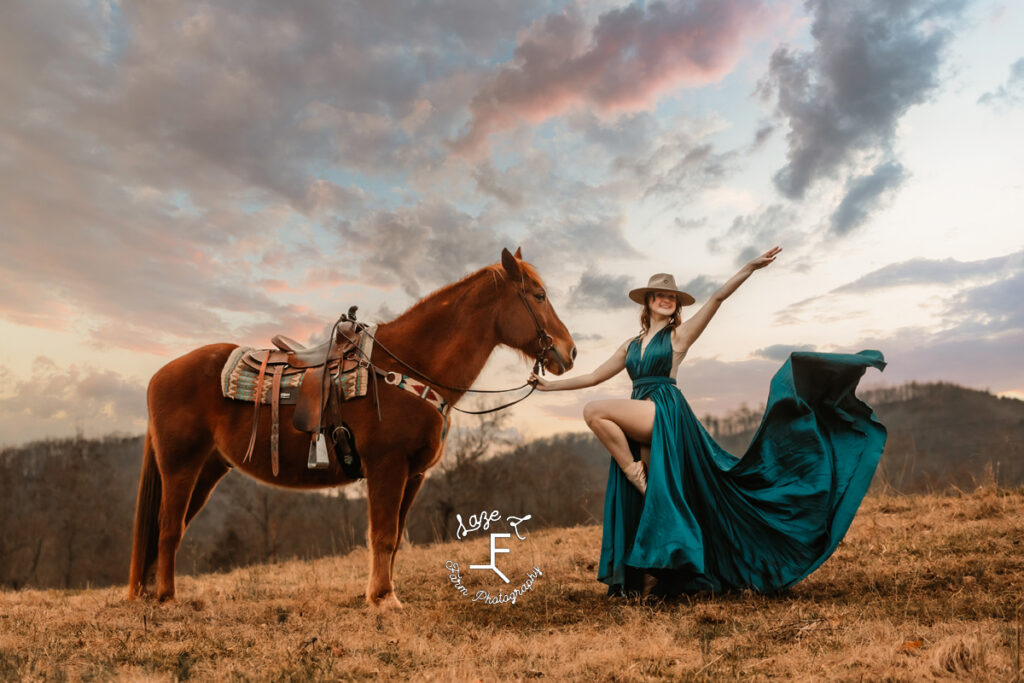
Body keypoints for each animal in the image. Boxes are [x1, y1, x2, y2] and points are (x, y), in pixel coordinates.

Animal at [125, 249, 577, 610]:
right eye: (538, 295)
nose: (569, 352)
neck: (405, 368)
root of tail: (161, 374)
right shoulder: (387, 467)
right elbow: (383, 535)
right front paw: (384, 599)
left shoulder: (413, 475)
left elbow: (395, 539)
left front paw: (382, 592)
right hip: (180, 467)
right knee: (168, 529)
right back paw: (166, 598)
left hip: (208, 469)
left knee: (171, 528)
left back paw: (151, 592)